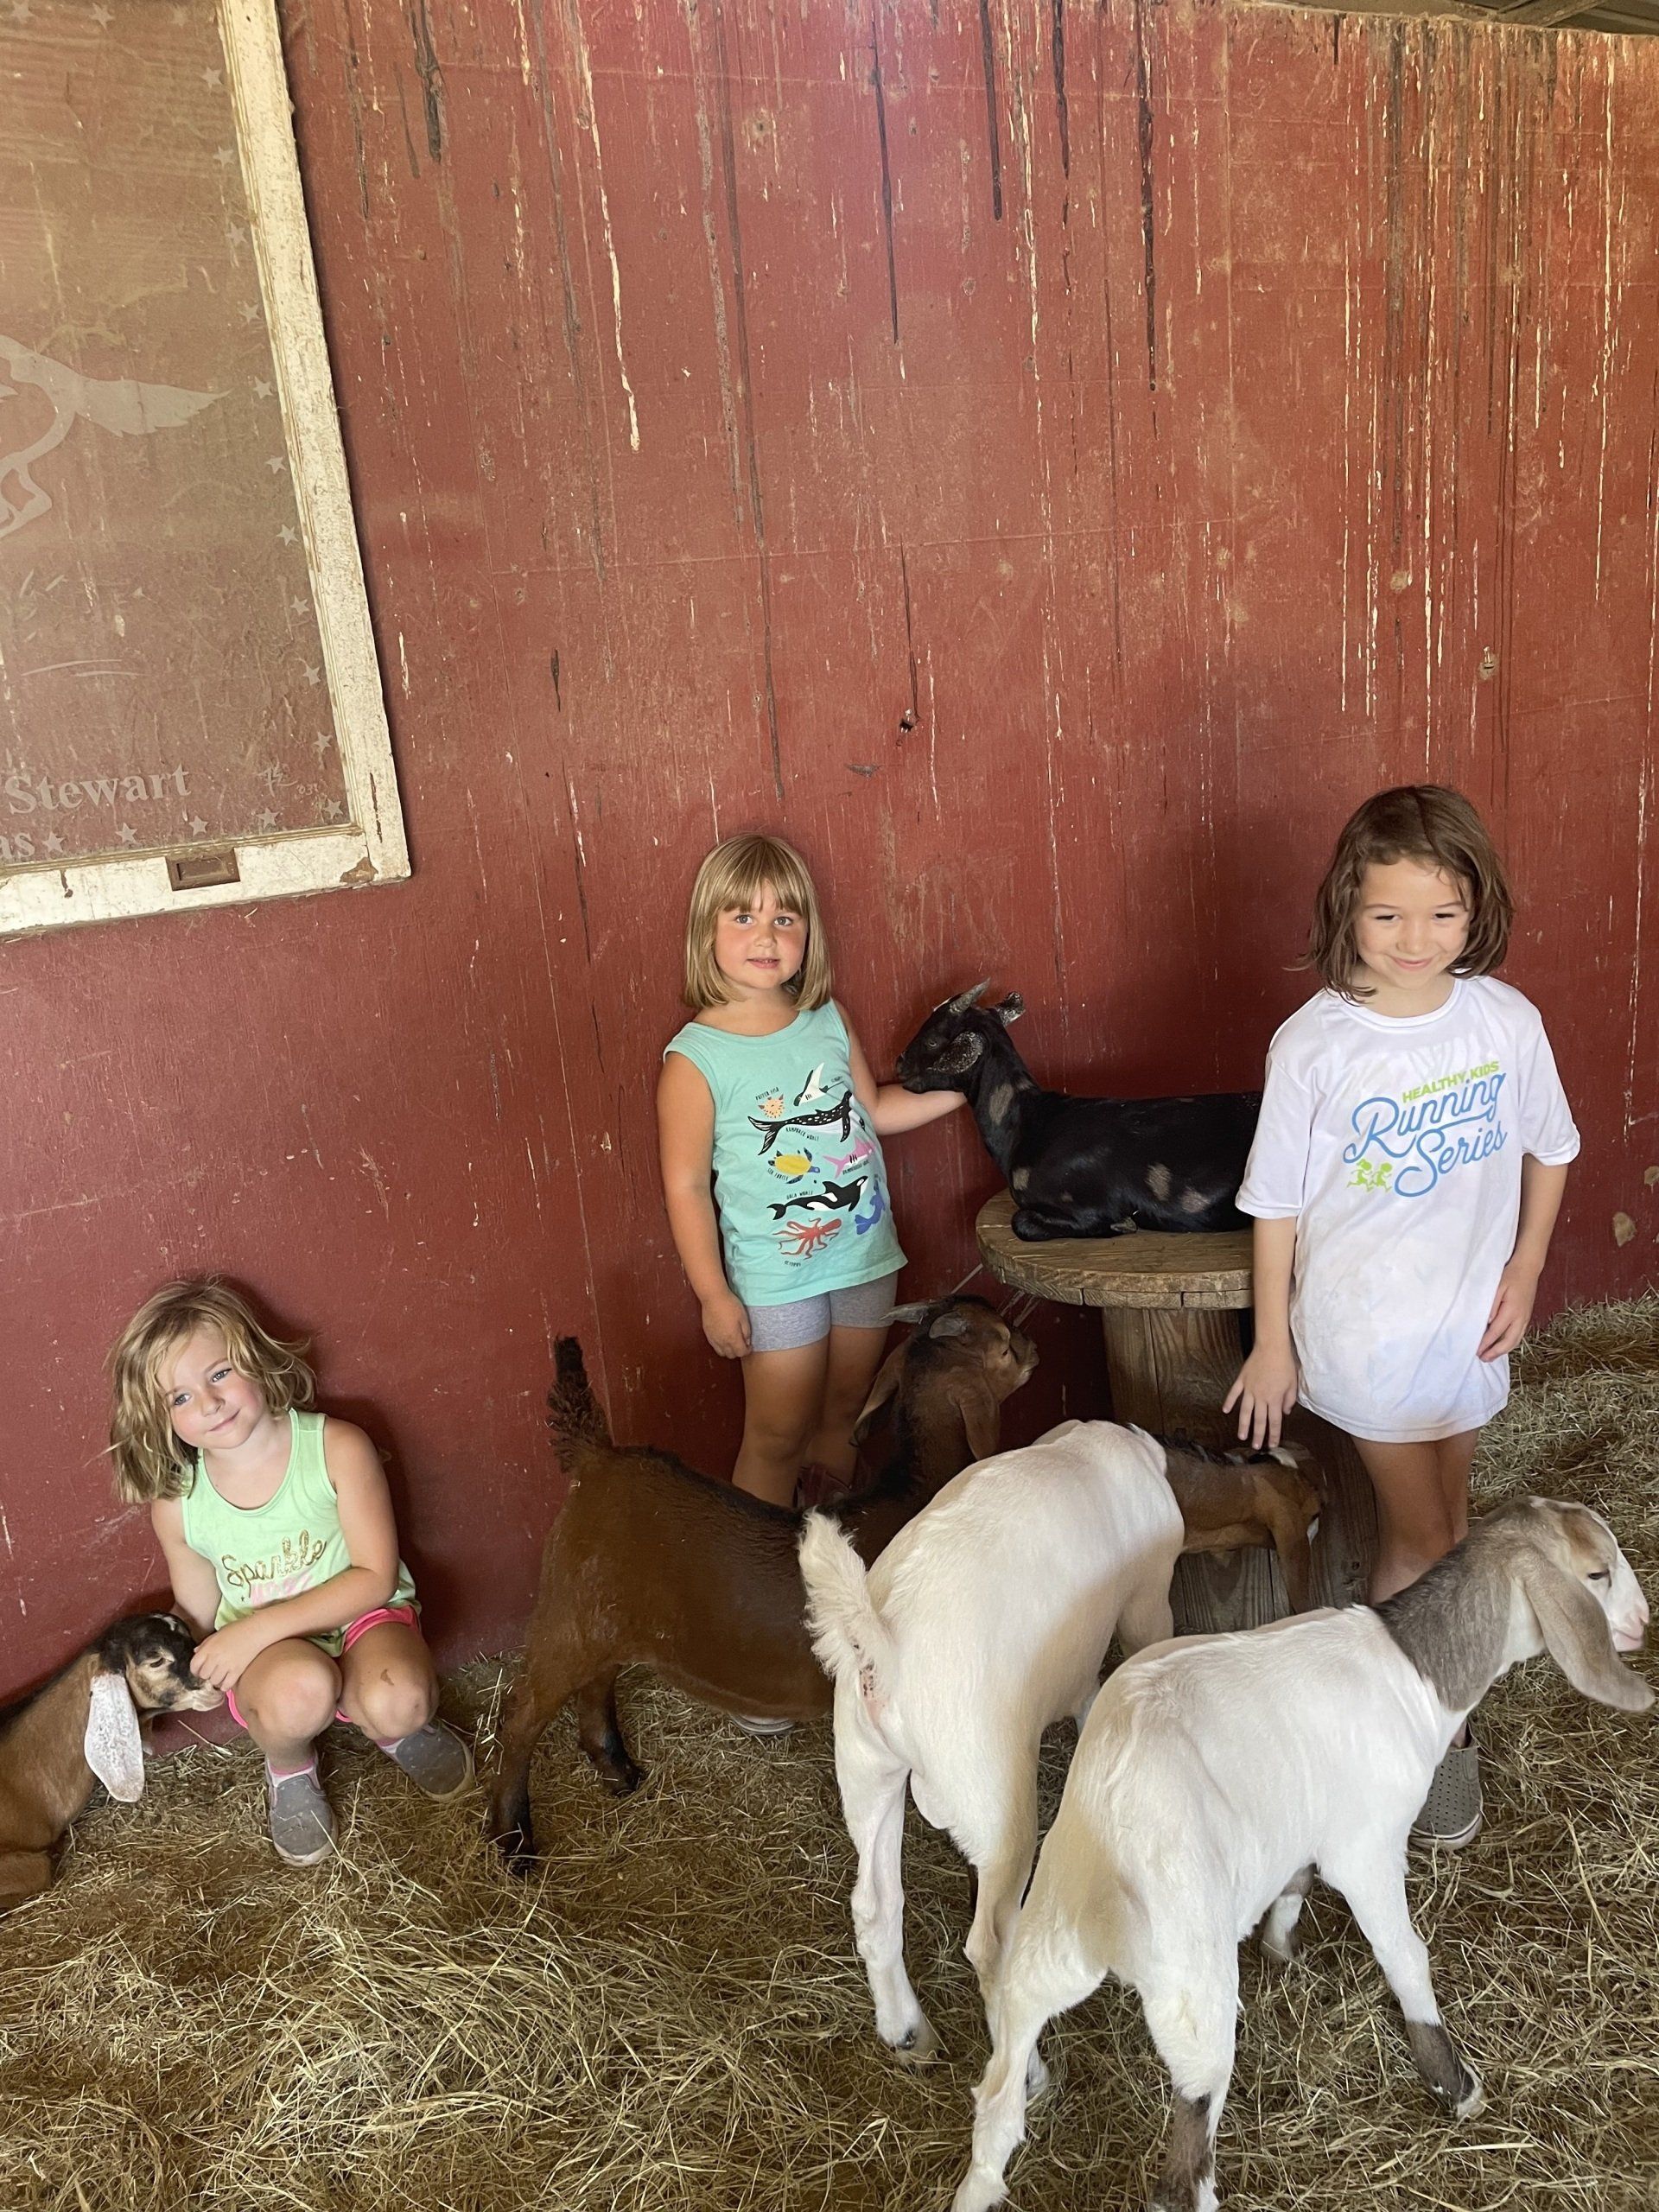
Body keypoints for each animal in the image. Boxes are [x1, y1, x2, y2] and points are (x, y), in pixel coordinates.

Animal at [485, 1296, 1037, 1868]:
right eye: (1003, 1344)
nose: (1034, 1348)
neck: (917, 1491)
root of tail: (594, 1455)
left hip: (606, 1614)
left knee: (595, 1683)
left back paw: (616, 1770)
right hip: (568, 1609)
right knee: (520, 1718)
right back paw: (512, 1837)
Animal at [799, 1420, 1293, 2061]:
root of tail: (884, 1645)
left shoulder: (1078, 1658)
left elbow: (1088, 1696)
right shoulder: (1147, 1598)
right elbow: (1143, 1648)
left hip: (864, 1769)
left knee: (875, 1907)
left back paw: (908, 2033)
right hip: (995, 1805)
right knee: (989, 1941)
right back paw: (1028, 2067)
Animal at [895, 983, 1260, 1240]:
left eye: (932, 1040)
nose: (898, 1063)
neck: (1028, 1124)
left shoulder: (1086, 1205)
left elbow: (1021, 1222)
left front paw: (1122, 1226)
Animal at [950, 1497, 1653, 2212]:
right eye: (1596, 1574)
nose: (1640, 1623)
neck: (1415, 1669)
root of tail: (1101, 1887)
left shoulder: (1303, 1822)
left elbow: (1294, 1881)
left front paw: (1282, 1948)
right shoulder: (1367, 1846)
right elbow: (1405, 1957)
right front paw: (1454, 2084)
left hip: (1041, 1956)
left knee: (997, 2107)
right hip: (1192, 1992)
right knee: (1182, 2168)